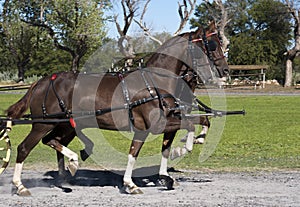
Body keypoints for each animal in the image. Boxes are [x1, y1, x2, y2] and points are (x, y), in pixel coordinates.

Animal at [6, 20, 227, 196]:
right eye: (212, 45)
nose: (225, 70)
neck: (155, 82)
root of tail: (42, 81)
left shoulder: (161, 121)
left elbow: (197, 123)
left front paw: (184, 151)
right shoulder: (153, 125)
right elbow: (146, 148)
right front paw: (132, 183)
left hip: (65, 125)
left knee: (52, 141)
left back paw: (70, 167)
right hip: (43, 123)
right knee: (24, 148)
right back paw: (21, 185)